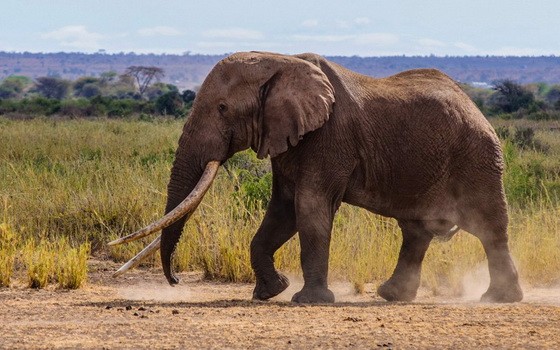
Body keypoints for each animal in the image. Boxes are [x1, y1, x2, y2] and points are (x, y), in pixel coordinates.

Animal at [109, 51, 524, 304]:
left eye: (223, 108)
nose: (176, 281)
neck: (278, 61)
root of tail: (475, 106)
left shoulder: (329, 137)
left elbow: (309, 208)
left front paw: (307, 301)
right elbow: (283, 211)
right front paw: (270, 292)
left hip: (478, 158)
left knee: (489, 227)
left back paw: (498, 299)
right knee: (416, 230)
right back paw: (392, 296)